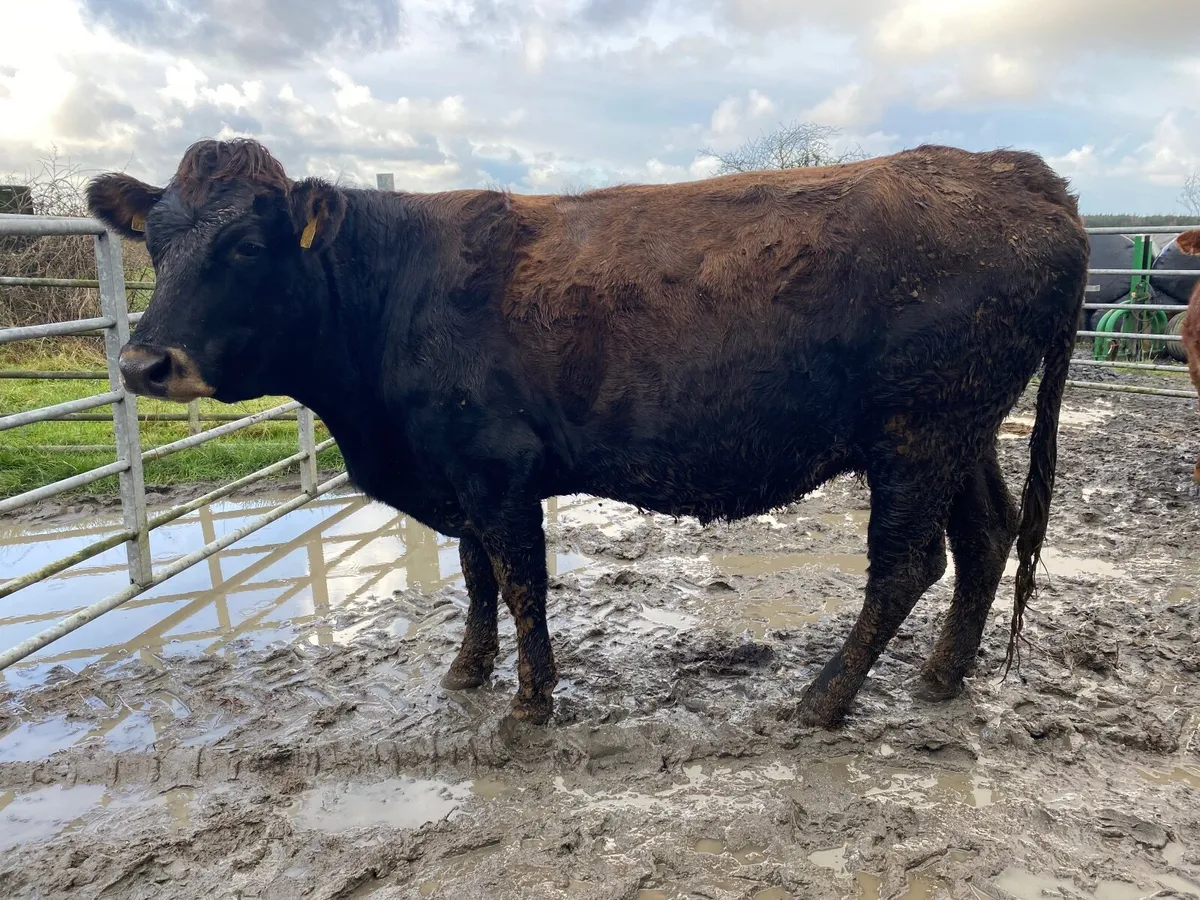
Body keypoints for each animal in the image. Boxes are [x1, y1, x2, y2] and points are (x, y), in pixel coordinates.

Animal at [85, 138, 1089, 728]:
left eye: (248, 247)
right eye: (155, 245)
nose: (143, 364)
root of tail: (1027, 176)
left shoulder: (496, 468)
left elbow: (520, 579)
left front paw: (530, 702)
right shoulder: (460, 473)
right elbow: (477, 575)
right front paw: (467, 671)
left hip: (916, 434)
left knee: (907, 564)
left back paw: (821, 700)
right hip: (960, 431)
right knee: (986, 535)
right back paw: (941, 679)